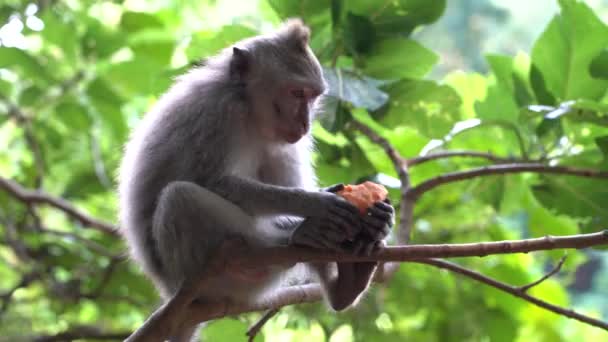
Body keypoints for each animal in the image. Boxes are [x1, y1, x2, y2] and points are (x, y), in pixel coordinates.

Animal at [119, 19, 394, 342]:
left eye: (312, 96)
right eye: (296, 93)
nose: (306, 123)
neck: (249, 112)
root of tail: (177, 297)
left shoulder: (286, 142)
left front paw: (378, 217)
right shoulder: (216, 112)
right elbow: (209, 180)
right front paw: (316, 204)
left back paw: (346, 284)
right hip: (204, 276)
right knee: (179, 198)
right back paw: (291, 238)